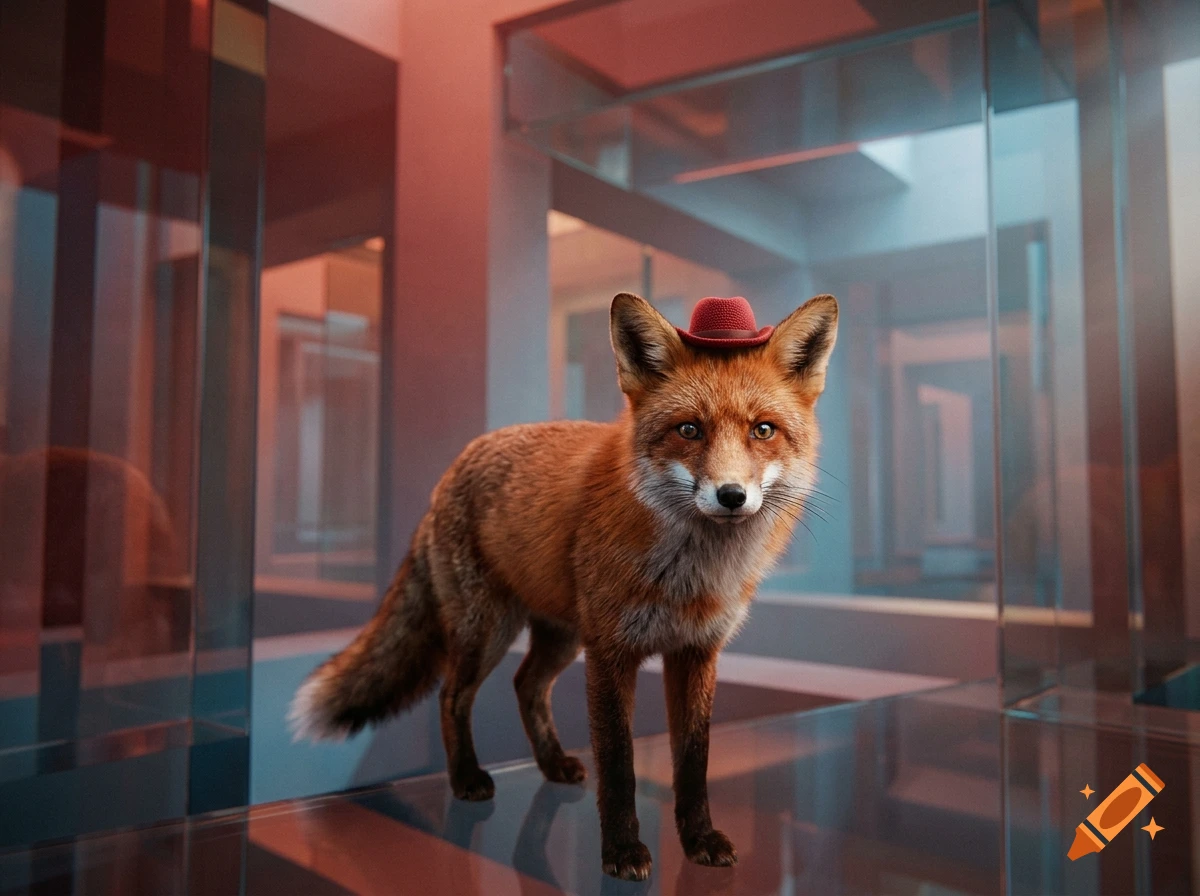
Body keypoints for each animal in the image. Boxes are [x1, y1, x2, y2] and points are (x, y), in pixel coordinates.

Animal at [289, 291, 839, 880]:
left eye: (763, 430)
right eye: (689, 430)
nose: (732, 495)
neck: (691, 575)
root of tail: (454, 467)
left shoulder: (696, 651)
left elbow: (694, 761)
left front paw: (699, 840)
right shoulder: (611, 652)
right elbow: (619, 763)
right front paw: (621, 851)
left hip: (561, 636)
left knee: (526, 685)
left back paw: (550, 766)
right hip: (488, 632)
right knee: (452, 695)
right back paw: (466, 779)